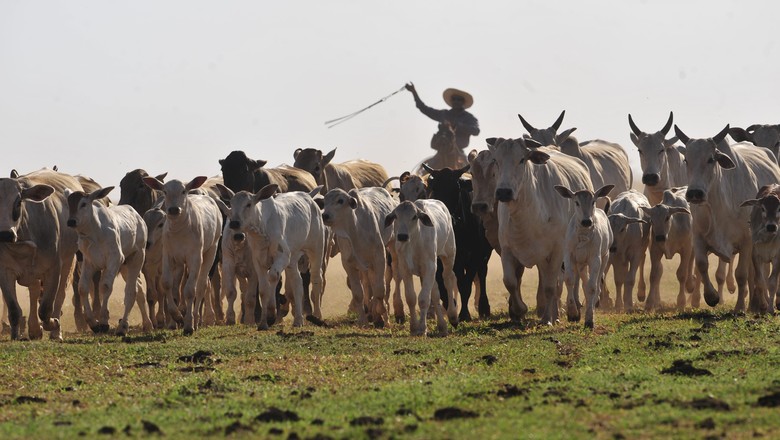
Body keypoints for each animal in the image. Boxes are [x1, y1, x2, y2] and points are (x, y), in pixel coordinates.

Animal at [66, 186, 155, 336]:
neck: (95, 233)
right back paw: (147, 324)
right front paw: (92, 323)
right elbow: (83, 288)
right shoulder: (88, 262)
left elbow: (105, 287)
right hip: (125, 267)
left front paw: (103, 321)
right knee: (140, 290)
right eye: (68, 203)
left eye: (83, 204)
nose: (71, 221)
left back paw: (123, 326)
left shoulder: (114, 260)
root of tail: (139, 218)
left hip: (136, 258)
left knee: (131, 291)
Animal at [142, 177, 221, 336]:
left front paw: (188, 324)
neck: (179, 230)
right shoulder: (169, 256)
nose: (173, 209)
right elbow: (167, 285)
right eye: (165, 191)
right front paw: (177, 317)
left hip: (211, 251)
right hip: (179, 263)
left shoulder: (195, 258)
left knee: (202, 285)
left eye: (183, 191)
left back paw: (197, 320)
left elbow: (190, 291)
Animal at [424, 162, 490, 320]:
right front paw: (450, 305)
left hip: (484, 253)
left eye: (457, 188)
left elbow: (465, 285)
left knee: (482, 273)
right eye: (435, 188)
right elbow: (442, 285)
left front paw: (464, 314)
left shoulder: (474, 255)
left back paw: (484, 307)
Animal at [556, 184, 616, 328]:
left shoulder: (595, 259)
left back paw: (593, 304)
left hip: (604, 257)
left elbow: (592, 287)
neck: (583, 234)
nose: (586, 221)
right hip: (581, 263)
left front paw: (589, 319)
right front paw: (573, 313)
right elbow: (569, 280)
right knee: (583, 283)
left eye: (593, 201)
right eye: (576, 202)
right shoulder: (569, 256)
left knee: (596, 284)